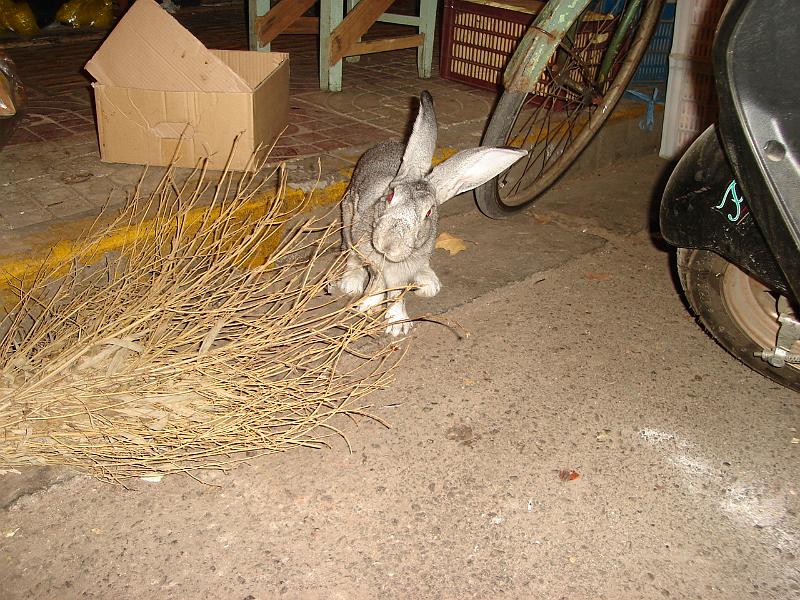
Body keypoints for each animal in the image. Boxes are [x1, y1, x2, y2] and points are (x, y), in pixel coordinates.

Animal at [331, 91, 527, 336]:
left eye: (429, 212)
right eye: (390, 196)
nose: (388, 245)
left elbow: (396, 292)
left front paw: (397, 324)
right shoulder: (371, 254)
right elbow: (378, 281)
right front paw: (367, 305)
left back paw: (428, 283)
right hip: (347, 215)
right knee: (349, 253)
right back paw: (351, 284)